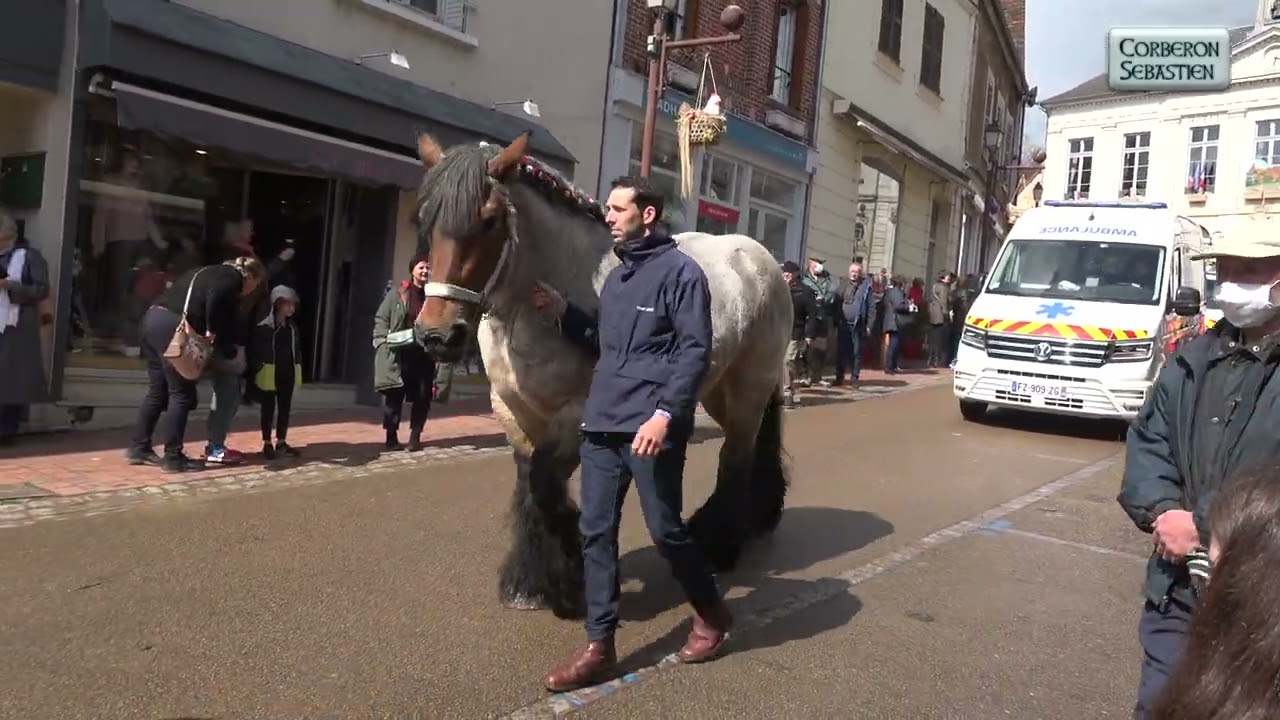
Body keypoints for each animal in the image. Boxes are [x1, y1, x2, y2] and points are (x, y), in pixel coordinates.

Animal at [410, 131, 793, 619]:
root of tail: (762, 260)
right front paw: (531, 583)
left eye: (490, 220)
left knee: (736, 456)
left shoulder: (577, 416)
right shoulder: (512, 412)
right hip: (716, 390)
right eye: (424, 218)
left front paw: (569, 582)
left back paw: (719, 545)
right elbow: (530, 485)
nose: (437, 334)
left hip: (749, 386)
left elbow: (545, 482)